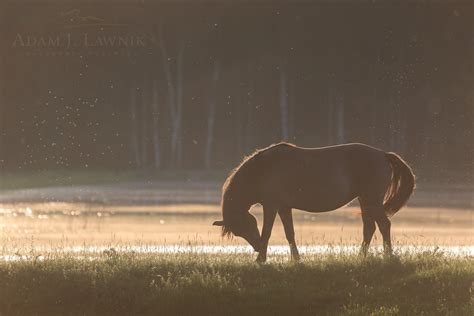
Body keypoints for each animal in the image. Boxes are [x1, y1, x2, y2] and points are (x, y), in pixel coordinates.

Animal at [213, 143, 416, 262]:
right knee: (370, 228)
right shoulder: (284, 207)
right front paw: (296, 259)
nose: (256, 247)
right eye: (238, 232)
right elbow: (289, 233)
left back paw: (388, 256)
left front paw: (261, 259)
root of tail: (383, 154)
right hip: (365, 201)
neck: (262, 170)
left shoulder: (271, 206)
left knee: (384, 225)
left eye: (244, 226)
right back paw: (361, 256)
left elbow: (267, 232)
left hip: (372, 200)